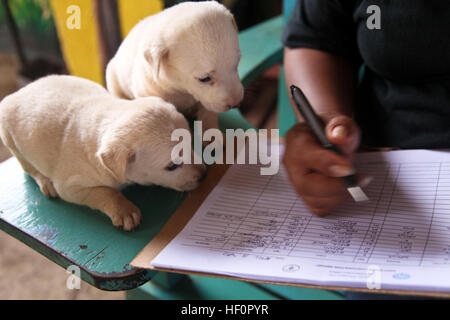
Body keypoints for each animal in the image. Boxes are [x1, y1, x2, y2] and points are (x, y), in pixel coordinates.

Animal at [0, 75, 207, 230]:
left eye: (191, 145)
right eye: (172, 166)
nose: (204, 175)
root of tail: (17, 93)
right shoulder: (71, 185)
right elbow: (104, 192)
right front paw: (124, 211)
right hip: (10, 140)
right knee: (29, 167)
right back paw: (45, 182)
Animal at [106, 0, 244, 130]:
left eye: (237, 64)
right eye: (204, 79)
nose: (236, 103)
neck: (180, 88)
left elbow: (208, 115)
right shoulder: (147, 90)